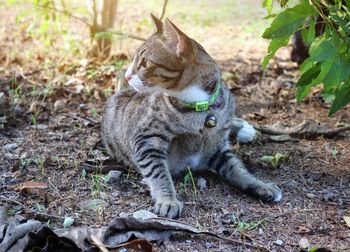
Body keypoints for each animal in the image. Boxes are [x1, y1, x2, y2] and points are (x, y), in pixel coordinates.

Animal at [101, 14, 282, 219]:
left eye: (145, 62)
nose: (127, 75)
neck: (202, 107)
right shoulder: (146, 138)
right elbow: (158, 171)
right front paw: (168, 200)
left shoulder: (216, 148)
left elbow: (237, 168)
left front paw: (260, 184)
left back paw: (243, 129)